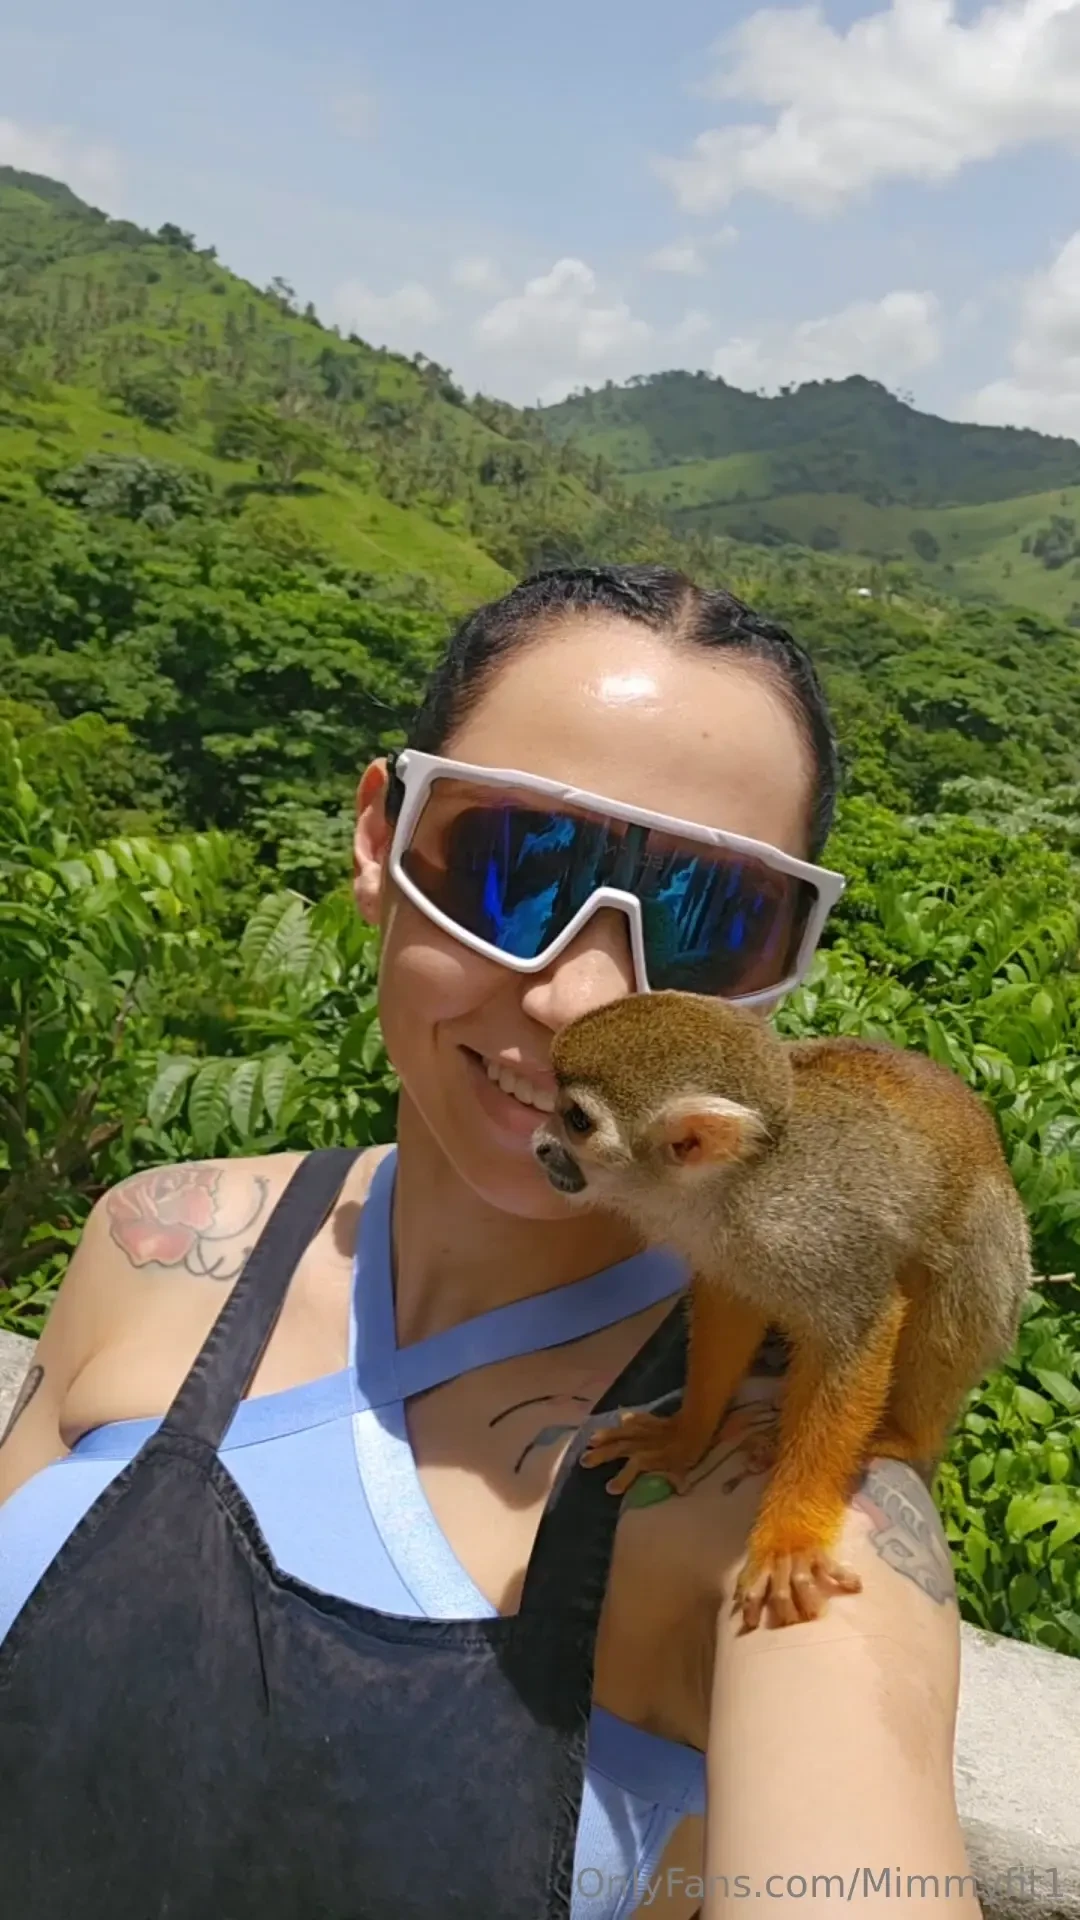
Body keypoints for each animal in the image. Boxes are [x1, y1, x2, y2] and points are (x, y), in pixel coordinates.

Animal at [532, 991, 1033, 1631]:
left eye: (577, 1121)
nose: (541, 1145)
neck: (732, 1187)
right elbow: (730, 1304)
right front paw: (685, 1437)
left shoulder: (804, 1230)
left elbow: (860, 1329)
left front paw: (790, 1537)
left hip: (1000, 1267)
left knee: (946, 1309)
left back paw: (902, 1436)